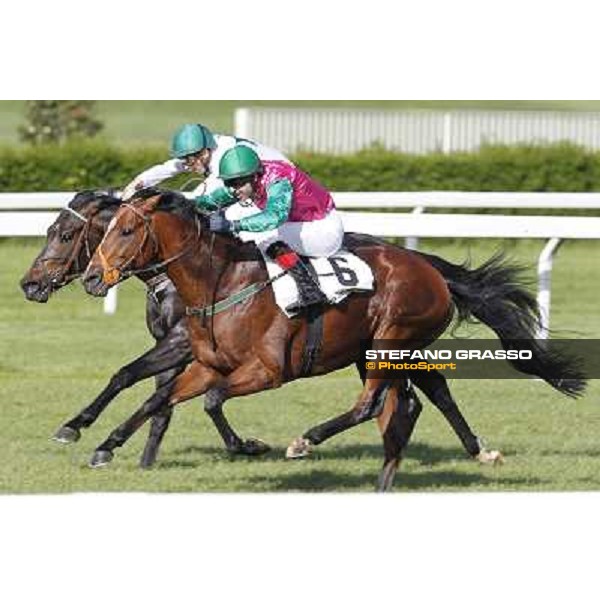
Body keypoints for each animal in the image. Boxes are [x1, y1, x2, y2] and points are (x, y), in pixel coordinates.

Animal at [79, 190, 584, 490]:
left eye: (127, 230)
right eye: (106, 229)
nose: (90, 278)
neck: (221, 283)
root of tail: (431, 269)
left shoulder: (266, 371)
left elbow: (212, 400)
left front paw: (249, 445)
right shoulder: (206, 365)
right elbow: (160, 399)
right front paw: (104, 445)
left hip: (389, 340)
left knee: (374, 404)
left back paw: (307, 440)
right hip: (380, 348)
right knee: (413, 400)